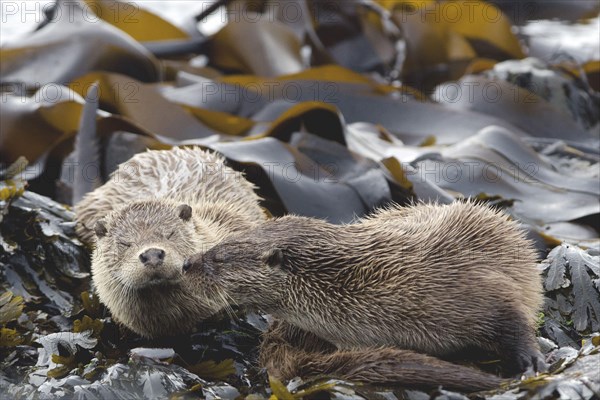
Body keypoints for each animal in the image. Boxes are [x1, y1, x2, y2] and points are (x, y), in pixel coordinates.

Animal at [185, 202, 548, 386]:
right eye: (216, 244)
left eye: (219, 257)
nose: (188, 263)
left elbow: (511, 316)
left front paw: (531, 360)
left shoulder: (472, 286)